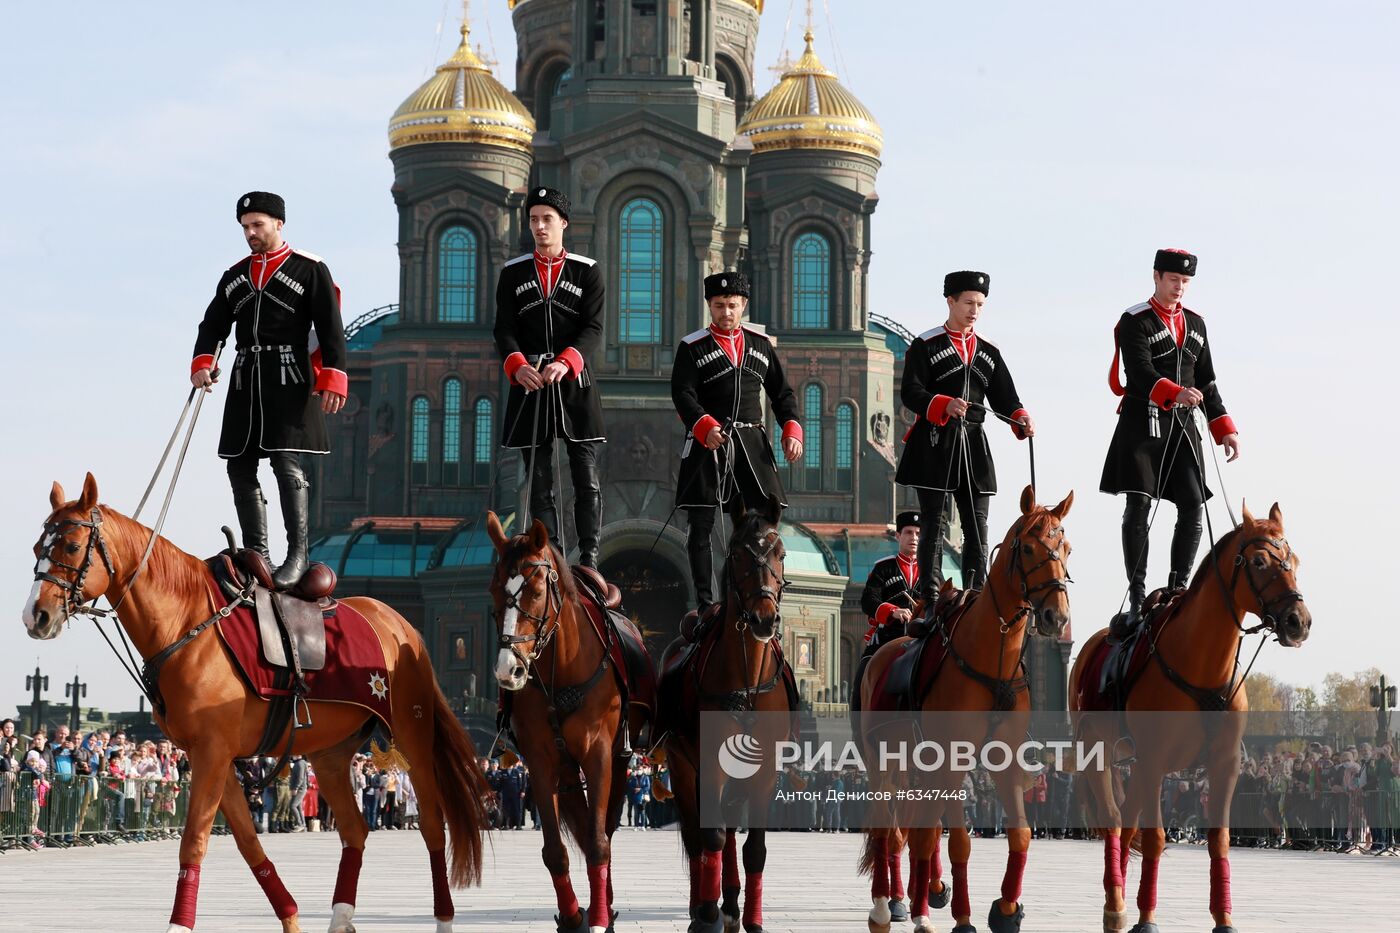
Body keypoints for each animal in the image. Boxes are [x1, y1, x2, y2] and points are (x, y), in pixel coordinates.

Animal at [20, 476, 492, 924]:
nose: (35, 616)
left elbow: (193, 843)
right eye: (37, 547)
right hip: (330, 754)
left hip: (413, 737)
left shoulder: (213, 753)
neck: (188, 623)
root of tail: (401, 624)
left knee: (432, 825)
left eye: (72, 545)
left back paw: (443, 917)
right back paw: (341, 917)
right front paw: (291, 917)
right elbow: (248, 843)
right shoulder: (213, 756)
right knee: (355, 830)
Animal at [476, 509, 641, 930]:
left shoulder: (600, 755)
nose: (508, 670)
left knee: (604, 830)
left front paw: (598, 918)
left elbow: (598, 841)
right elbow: (555, 849)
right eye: (493, 590)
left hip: (618, 763)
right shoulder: (540, 761)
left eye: (535, 591)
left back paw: (606, 905)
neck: (561, 672)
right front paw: (571, 915)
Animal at [660, 509, 795, 930]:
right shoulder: (707, 765)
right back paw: (701, 906)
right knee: (695, 835)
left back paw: (732, 902)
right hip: (682, 766)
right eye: (736, 554)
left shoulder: (765, 770)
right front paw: (706, 914)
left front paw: (751, 918)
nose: (765, 618)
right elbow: (712, 835)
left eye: (781, 553)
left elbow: (755, 848)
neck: (747, 684)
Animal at [851, 487, 1069, 930]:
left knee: (915, 829)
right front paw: (964, 916)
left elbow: (1019, 832)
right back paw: (885, 904)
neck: (992, 658)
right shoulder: (952, 757)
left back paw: (918, 895)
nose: (1056, 616)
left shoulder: (1005, 758)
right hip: (883, 760)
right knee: (887, 828)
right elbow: (959, 842)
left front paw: (1006, 909)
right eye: (1030, 547)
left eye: (1066, 548)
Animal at [1069, 501, 1310, 930]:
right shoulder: (1153, 761)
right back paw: (1115, 903)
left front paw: (1223, 917)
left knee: (1126, 821)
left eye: (1295, 561)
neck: (1204, 664)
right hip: (1100, 752)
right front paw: (1147, 917)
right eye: (1260, 561)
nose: (1299, 621)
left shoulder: (1224, 764)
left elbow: (1218, 838)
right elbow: (1155, 838)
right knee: (1114, 820)